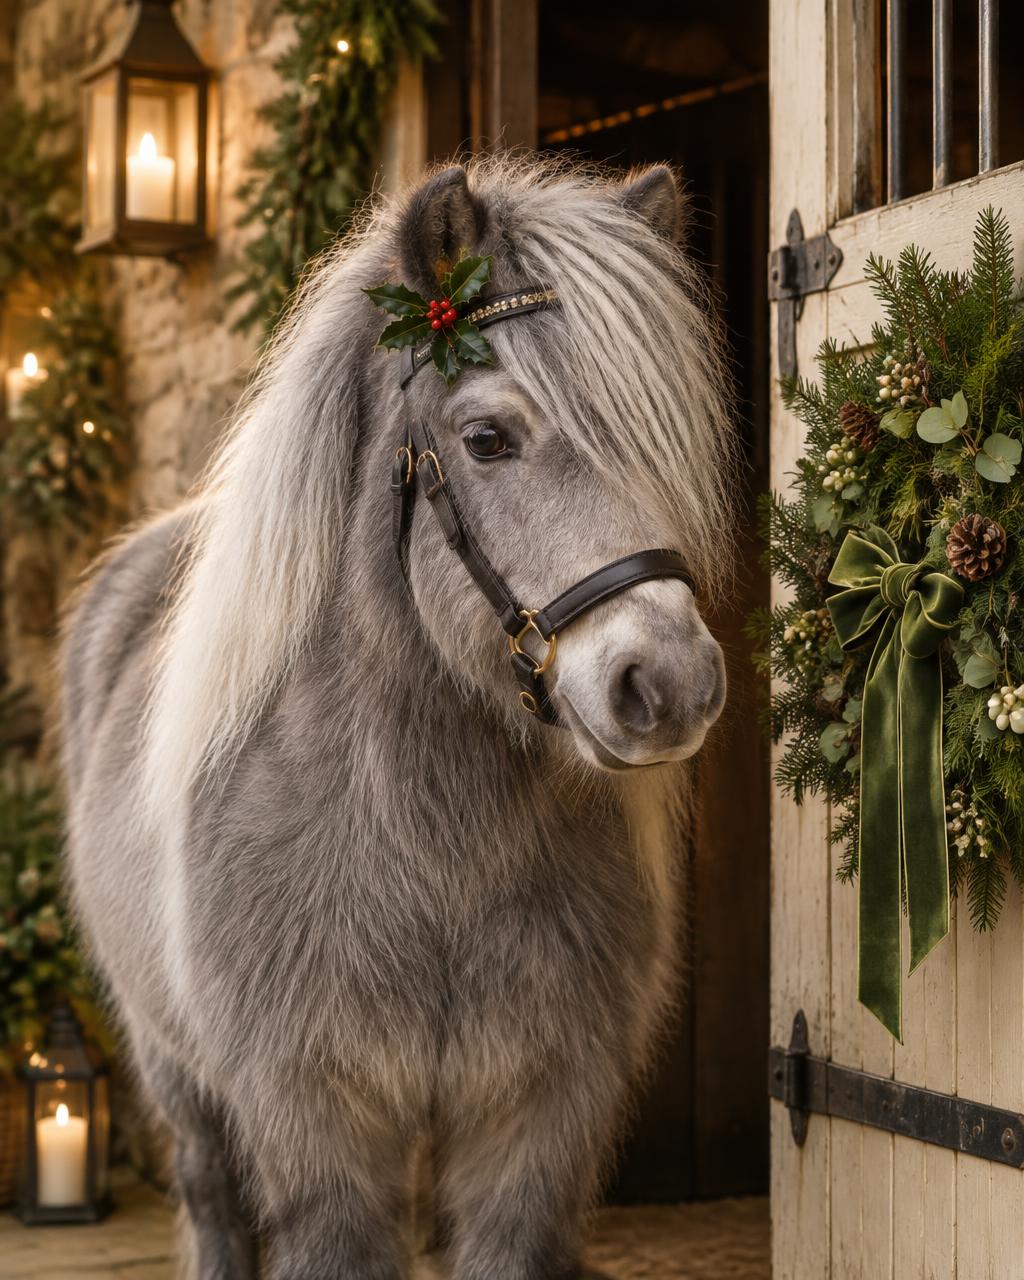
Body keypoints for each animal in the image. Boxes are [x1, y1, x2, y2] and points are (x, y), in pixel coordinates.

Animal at [60, 155, 736, 1279]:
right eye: (487, 437)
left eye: (665, 442)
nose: (671, 682)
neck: (423, 844)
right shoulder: (321, 1132)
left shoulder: (531, 1131)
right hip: (176, 1075)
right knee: (211, 1200)